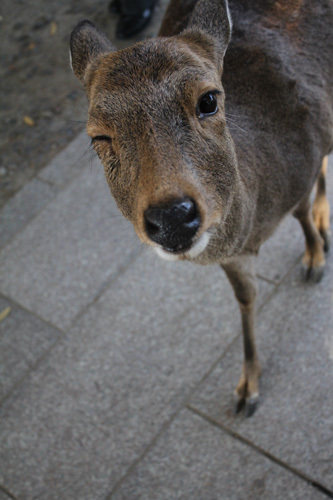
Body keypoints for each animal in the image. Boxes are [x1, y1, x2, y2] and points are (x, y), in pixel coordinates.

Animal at [68, 0, 330, 414]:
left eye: (208, 100)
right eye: (99, 136)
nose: (172, 216)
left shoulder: (304, 160)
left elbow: (302, 209)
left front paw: (315, 259)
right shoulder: (234, 255)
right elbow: (245, 297)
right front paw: (247, 387)